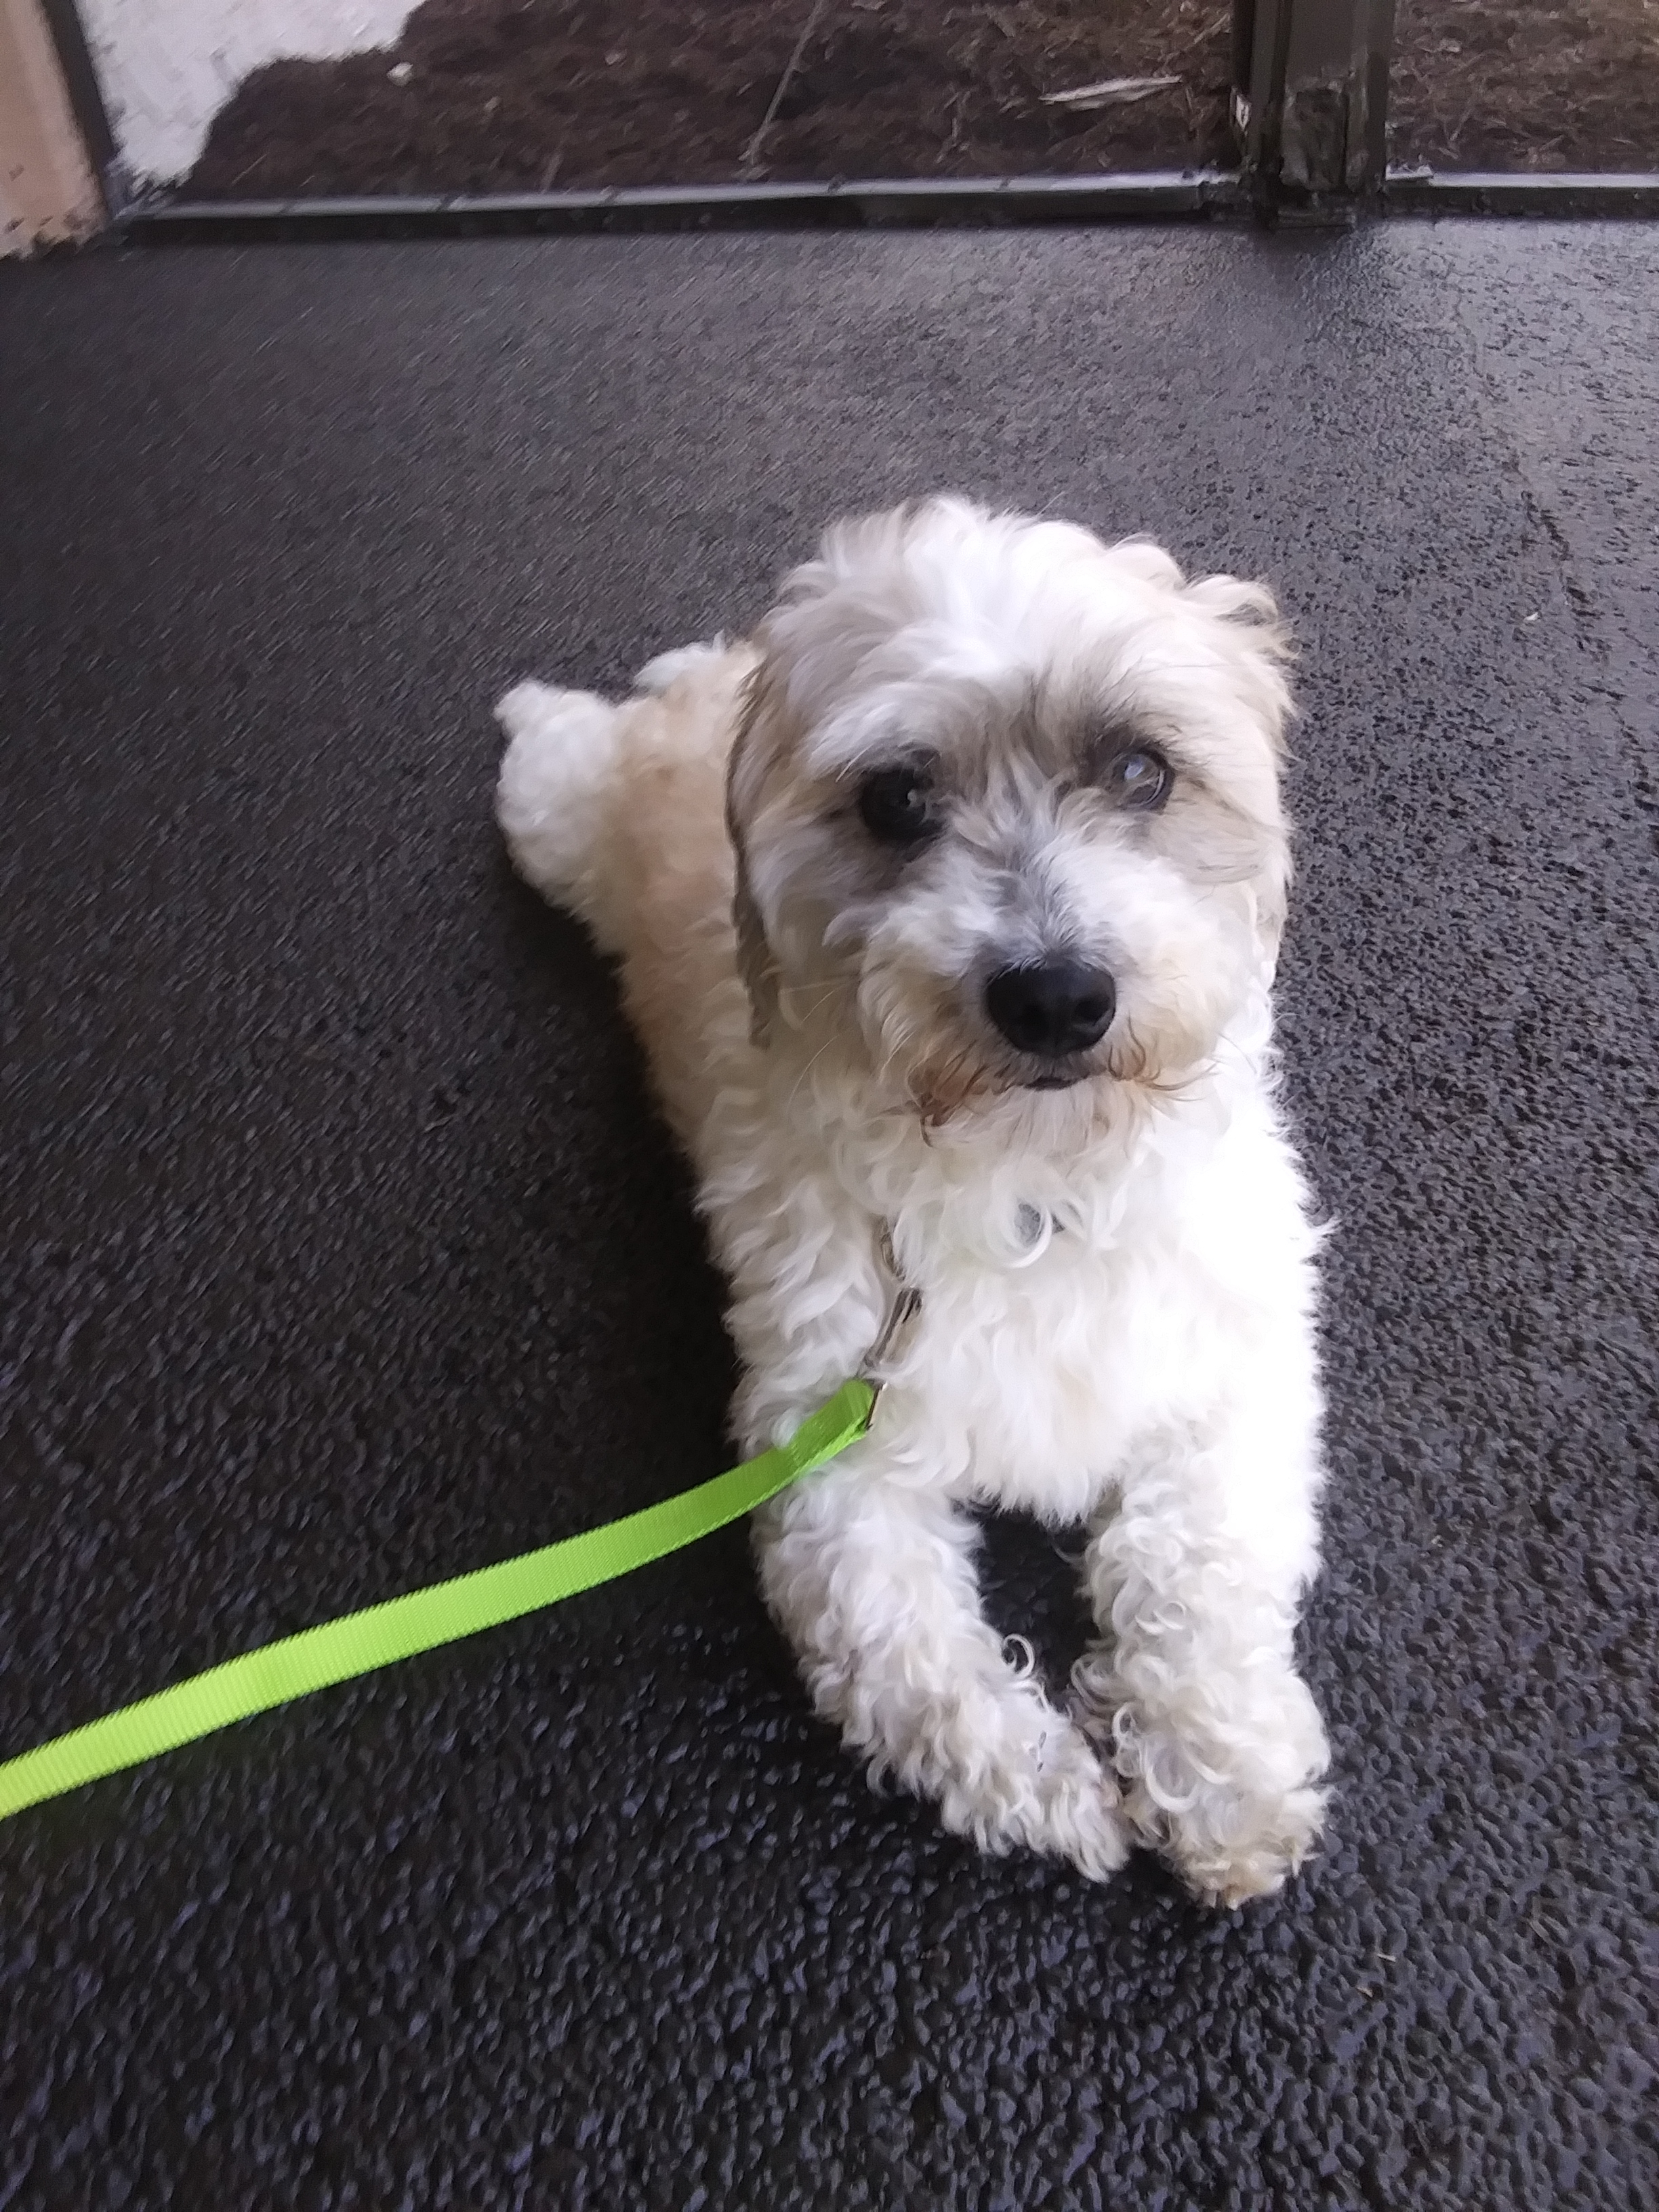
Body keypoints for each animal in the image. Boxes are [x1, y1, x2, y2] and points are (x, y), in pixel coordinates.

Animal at [495, 497, 1329, 1906]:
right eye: (894, 799)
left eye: (1141, 770)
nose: (1054, 993)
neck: (1035, 1183)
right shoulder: (826, 1446)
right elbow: (911, 1660)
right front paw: (1044, 1781)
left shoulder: (1229, 1376)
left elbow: (1200, 1572)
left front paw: (1221, 1770)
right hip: (562, 818)